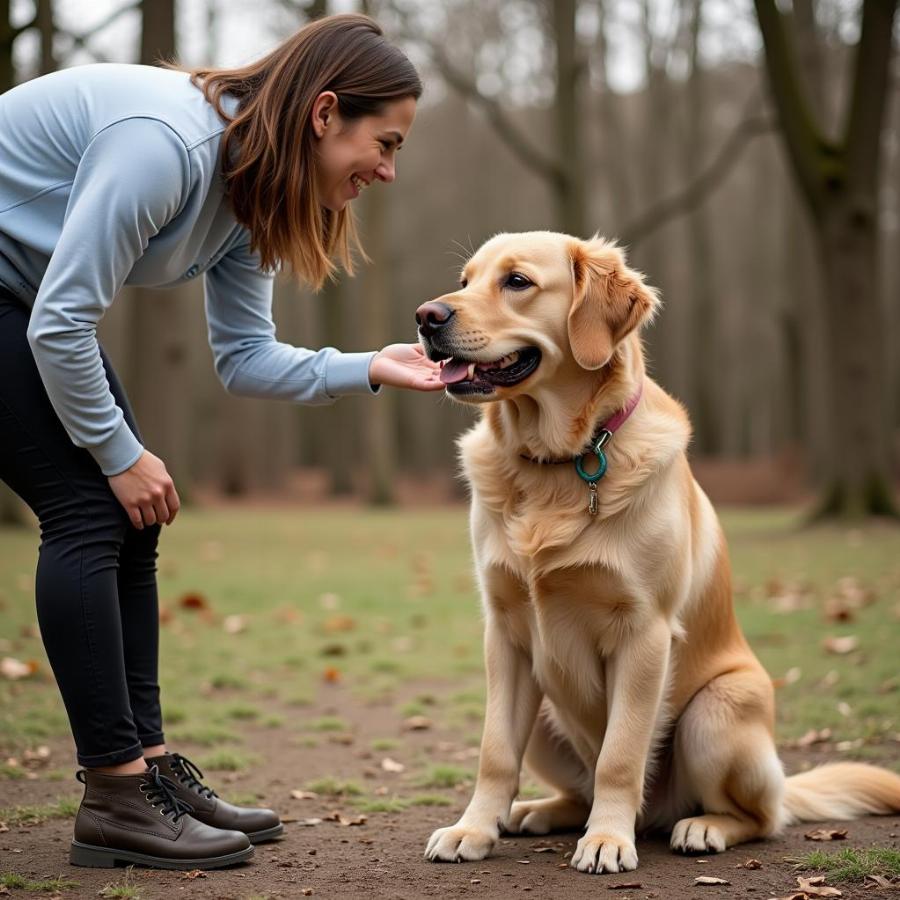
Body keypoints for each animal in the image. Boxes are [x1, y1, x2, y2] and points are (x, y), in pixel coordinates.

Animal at [414, 230, 900, 872]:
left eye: (517, 282)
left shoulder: (644, 631)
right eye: (465, 281)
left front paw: (606, 840)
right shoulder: (506, 632)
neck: (556, 465)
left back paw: (700, 826)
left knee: (762, 817)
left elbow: (620, 755)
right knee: (579, 787)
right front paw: (472, 829)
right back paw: (538, 811)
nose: (425, 317)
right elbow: (495, 751)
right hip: (545, 713)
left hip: (715, 712)